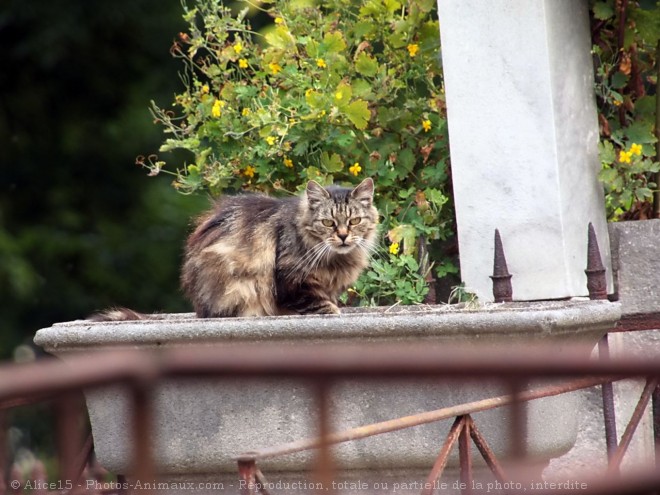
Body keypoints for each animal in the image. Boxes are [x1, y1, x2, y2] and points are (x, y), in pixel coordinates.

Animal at [89, 179, 376, 322]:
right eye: (328, 223)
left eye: (354, 221)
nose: (343, 236)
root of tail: (199, 310)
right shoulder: (292, 281)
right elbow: (318, 303)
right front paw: (332, 312)